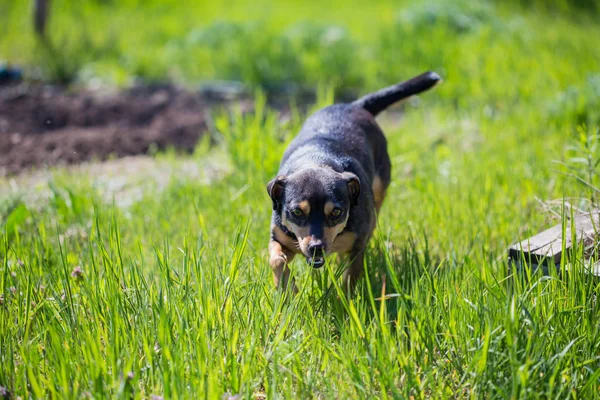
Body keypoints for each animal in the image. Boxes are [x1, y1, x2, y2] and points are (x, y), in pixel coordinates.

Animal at [268, 70, 440, 292]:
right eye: (297, 212)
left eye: (336, 212)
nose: (316, 248)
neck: (316, 159)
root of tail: (355, 105)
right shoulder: (279, 237)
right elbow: (276, 260)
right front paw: (287, 287)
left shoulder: (357, 248)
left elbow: (350, 278)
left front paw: (343, 300)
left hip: (379, 193)